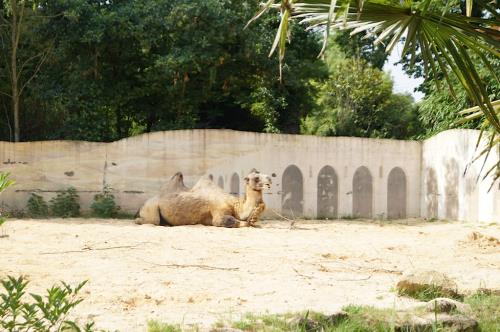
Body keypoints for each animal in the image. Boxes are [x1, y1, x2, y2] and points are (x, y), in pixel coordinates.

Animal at [135, 170, 272, 227]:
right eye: (256, 178)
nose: (269, 179)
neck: (235, 205)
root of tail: (142, 206)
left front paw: (254, 219)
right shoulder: (218, 214)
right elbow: (236, 222)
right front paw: (251, 222)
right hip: (151, 207)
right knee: (153, 221)